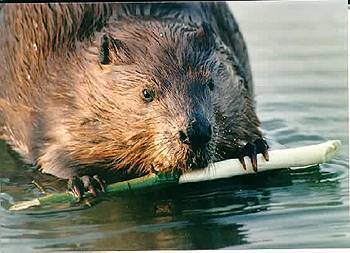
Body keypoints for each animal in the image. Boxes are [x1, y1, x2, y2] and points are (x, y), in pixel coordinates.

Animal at [0, 2, 268, 199]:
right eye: (146, 93)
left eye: (210, 84)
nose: (195, 132)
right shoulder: (61, 107)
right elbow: (51, 158)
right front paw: (85, 181)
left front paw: (250, 148)